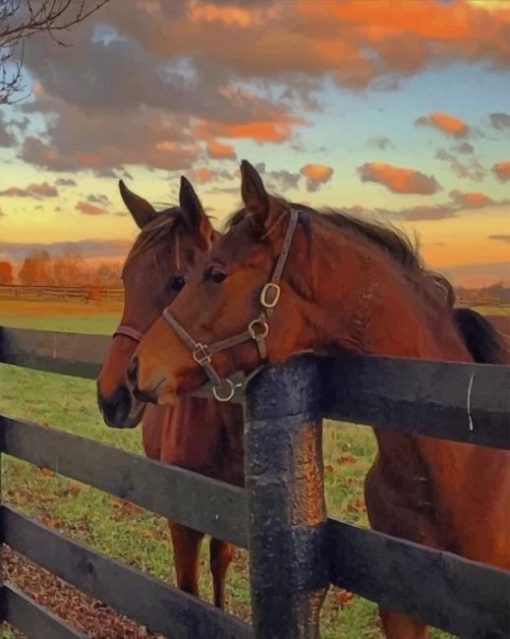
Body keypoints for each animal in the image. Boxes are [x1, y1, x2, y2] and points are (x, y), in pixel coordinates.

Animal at [97, 178, 245, 608]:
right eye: (125, 279)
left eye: (180, 281)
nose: (112, 396)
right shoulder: (182, 523)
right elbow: (187, 592)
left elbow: (219, 566)